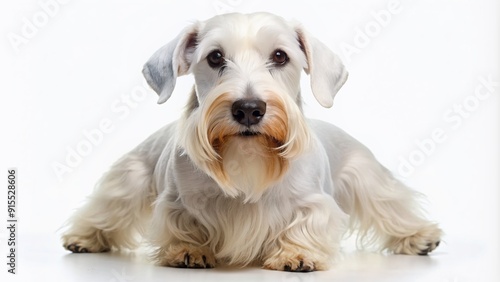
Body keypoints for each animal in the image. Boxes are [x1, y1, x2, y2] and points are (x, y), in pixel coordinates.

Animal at [62, 12, 442, 270]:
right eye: (215, 56)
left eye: (280, 56)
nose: (248, 109)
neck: (246, 156)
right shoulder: (177, 201)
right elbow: (182, 225)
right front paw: (188, 250)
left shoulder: (312, 202)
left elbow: (305, 224)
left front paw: (296, 253)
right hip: (131, 175)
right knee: (109, 209)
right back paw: (83, 238)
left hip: (368, 176)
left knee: (392, 207)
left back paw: (421, 237)